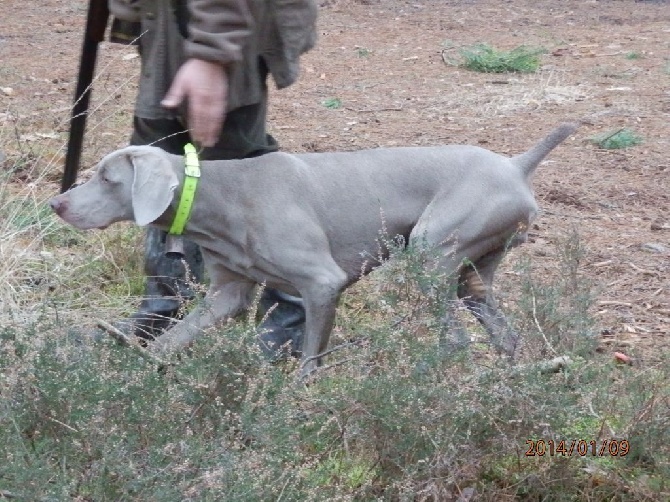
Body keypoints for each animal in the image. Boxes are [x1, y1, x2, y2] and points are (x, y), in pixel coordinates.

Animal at [51, 122, 576, 376]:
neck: (220, 197)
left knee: (457, 339)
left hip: (430, 251)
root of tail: (516, 164)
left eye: (107, 178)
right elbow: (173, 337)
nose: (56, 202)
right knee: (502, 334)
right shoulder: (227, 294)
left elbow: (308, 361)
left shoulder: (323, 284)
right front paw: (137, 370)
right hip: (473, 273)